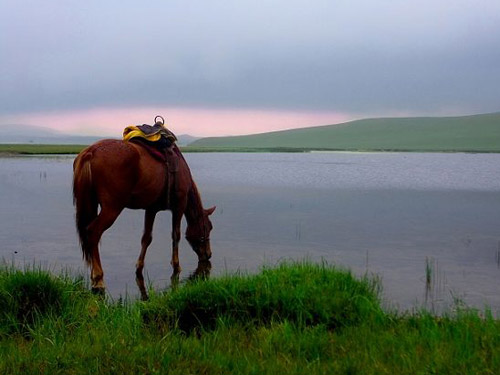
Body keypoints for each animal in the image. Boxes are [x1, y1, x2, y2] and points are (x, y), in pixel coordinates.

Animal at [72, 138, 215, 294]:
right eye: (208, 228)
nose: (208, 254)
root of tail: (91, 151)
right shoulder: (179, 206)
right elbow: (176, 235)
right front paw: (176, 265)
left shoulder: (151, 209)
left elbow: (146, 238)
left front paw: (139, 267)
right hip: (112, 208)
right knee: (94, 232)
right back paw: (98, 278)